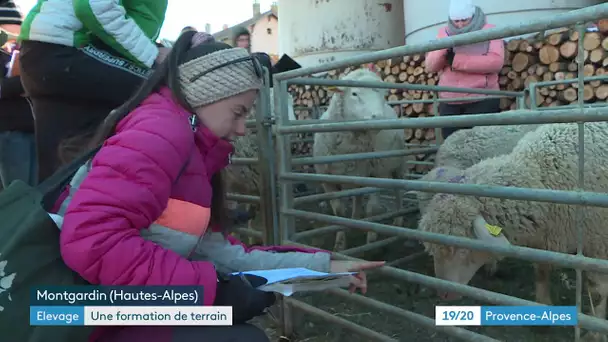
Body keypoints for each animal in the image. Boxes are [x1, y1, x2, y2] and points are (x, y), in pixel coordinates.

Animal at [314, 67, 404, 251]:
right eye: (354, 93)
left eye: (383, 94)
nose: (379, 118)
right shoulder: (327, 180)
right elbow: (339, 212)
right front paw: (340, 243)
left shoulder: (377, 175)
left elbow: (372, 208)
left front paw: (372, 239)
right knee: (357, 197)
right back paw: (355, 219)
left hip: (396, 166)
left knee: (398, 191)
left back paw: (398, 219)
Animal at [420, 121, 608, 340]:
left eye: (462, 249)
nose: (443, 293)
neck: (540, 176)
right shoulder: (545, 241)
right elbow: (541, 273)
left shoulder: (597, 244)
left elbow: (597, 292)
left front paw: (595, 333)